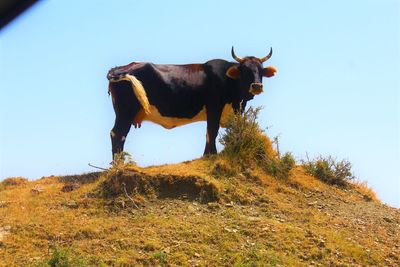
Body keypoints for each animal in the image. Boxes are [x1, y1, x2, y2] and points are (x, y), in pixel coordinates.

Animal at [106, 46, 276, 159]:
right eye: (245, 70)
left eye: (261, 70)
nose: (256, 86)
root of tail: (120, 68)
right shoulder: (214, 106)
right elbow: (211, 131)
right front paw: (210, 155)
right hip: (126, 110)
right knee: (118, 133)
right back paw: (119, 165)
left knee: (119, 134)